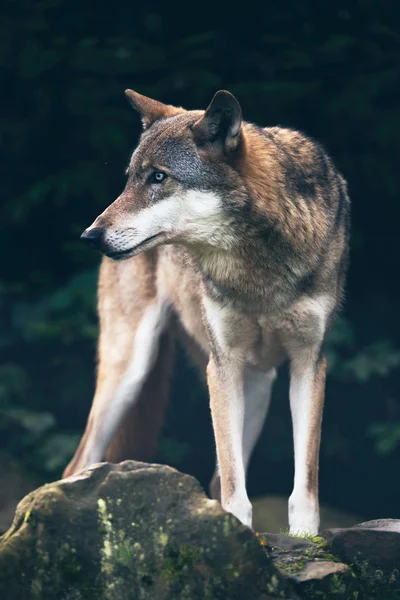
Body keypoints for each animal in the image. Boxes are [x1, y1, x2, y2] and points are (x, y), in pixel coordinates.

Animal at [63, 88, 350, 536]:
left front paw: (305, 536)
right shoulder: (224, 363)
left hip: (257, 385)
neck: (257, 273)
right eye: (130, 178)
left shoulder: (309, 361)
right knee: (80, 464)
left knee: (216, 477)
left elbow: (304, 475)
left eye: (158, 177)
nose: (90, 236)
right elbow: (233, 481)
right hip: (128, 372)